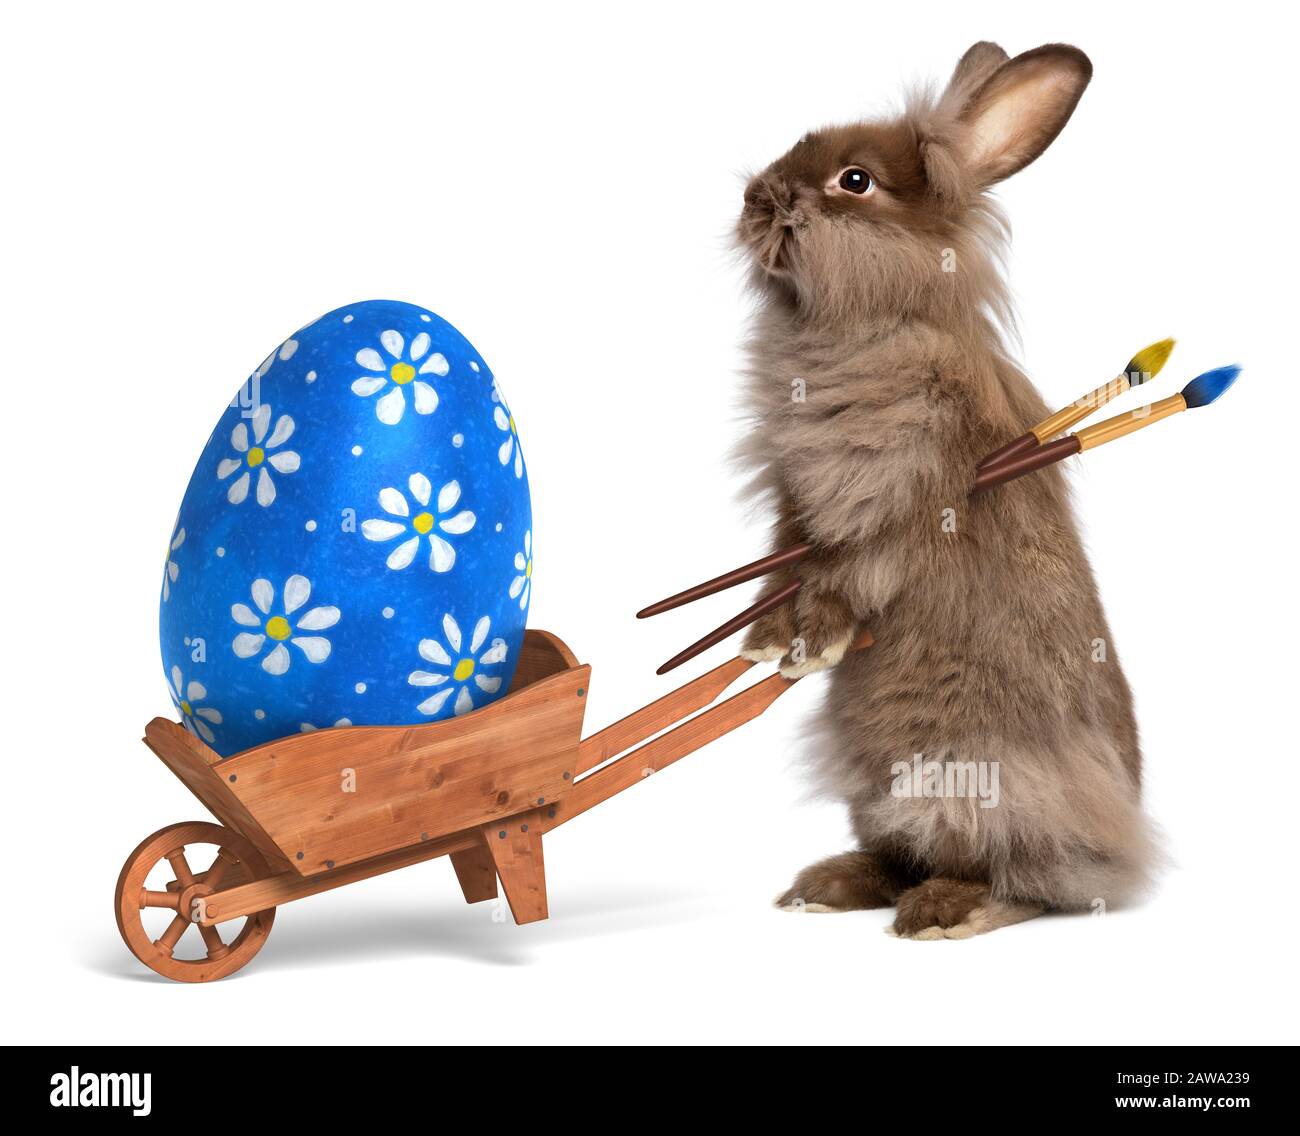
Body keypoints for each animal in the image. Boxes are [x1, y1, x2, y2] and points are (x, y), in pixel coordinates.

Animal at [738, 39, 1154, 935]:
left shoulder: (906, 498)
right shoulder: (795, 503)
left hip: (986, 783)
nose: (755, 198)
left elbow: (848, 573)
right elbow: (784, 562)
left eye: (855, 180)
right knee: (904, 852)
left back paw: (944, 912)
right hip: (875, 784)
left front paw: (811, 645)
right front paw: (760, 641)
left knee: (1021, 879)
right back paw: (827, 887)